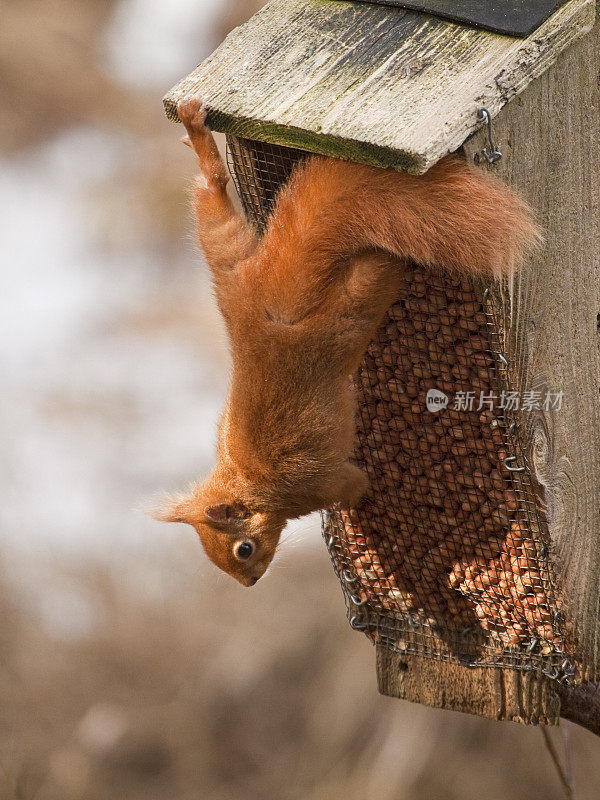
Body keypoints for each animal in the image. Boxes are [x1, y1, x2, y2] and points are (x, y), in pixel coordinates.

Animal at [151, 94, 540, 584]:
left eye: (243, 549)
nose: (251, 580)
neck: (250, 483)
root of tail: (266, 305)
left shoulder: (318, 484)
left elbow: (353, 485)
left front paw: (366, 503)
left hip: (345, 310)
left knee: (374, 267)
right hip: (230, 261)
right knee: (212, 199)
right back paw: (198, 137)